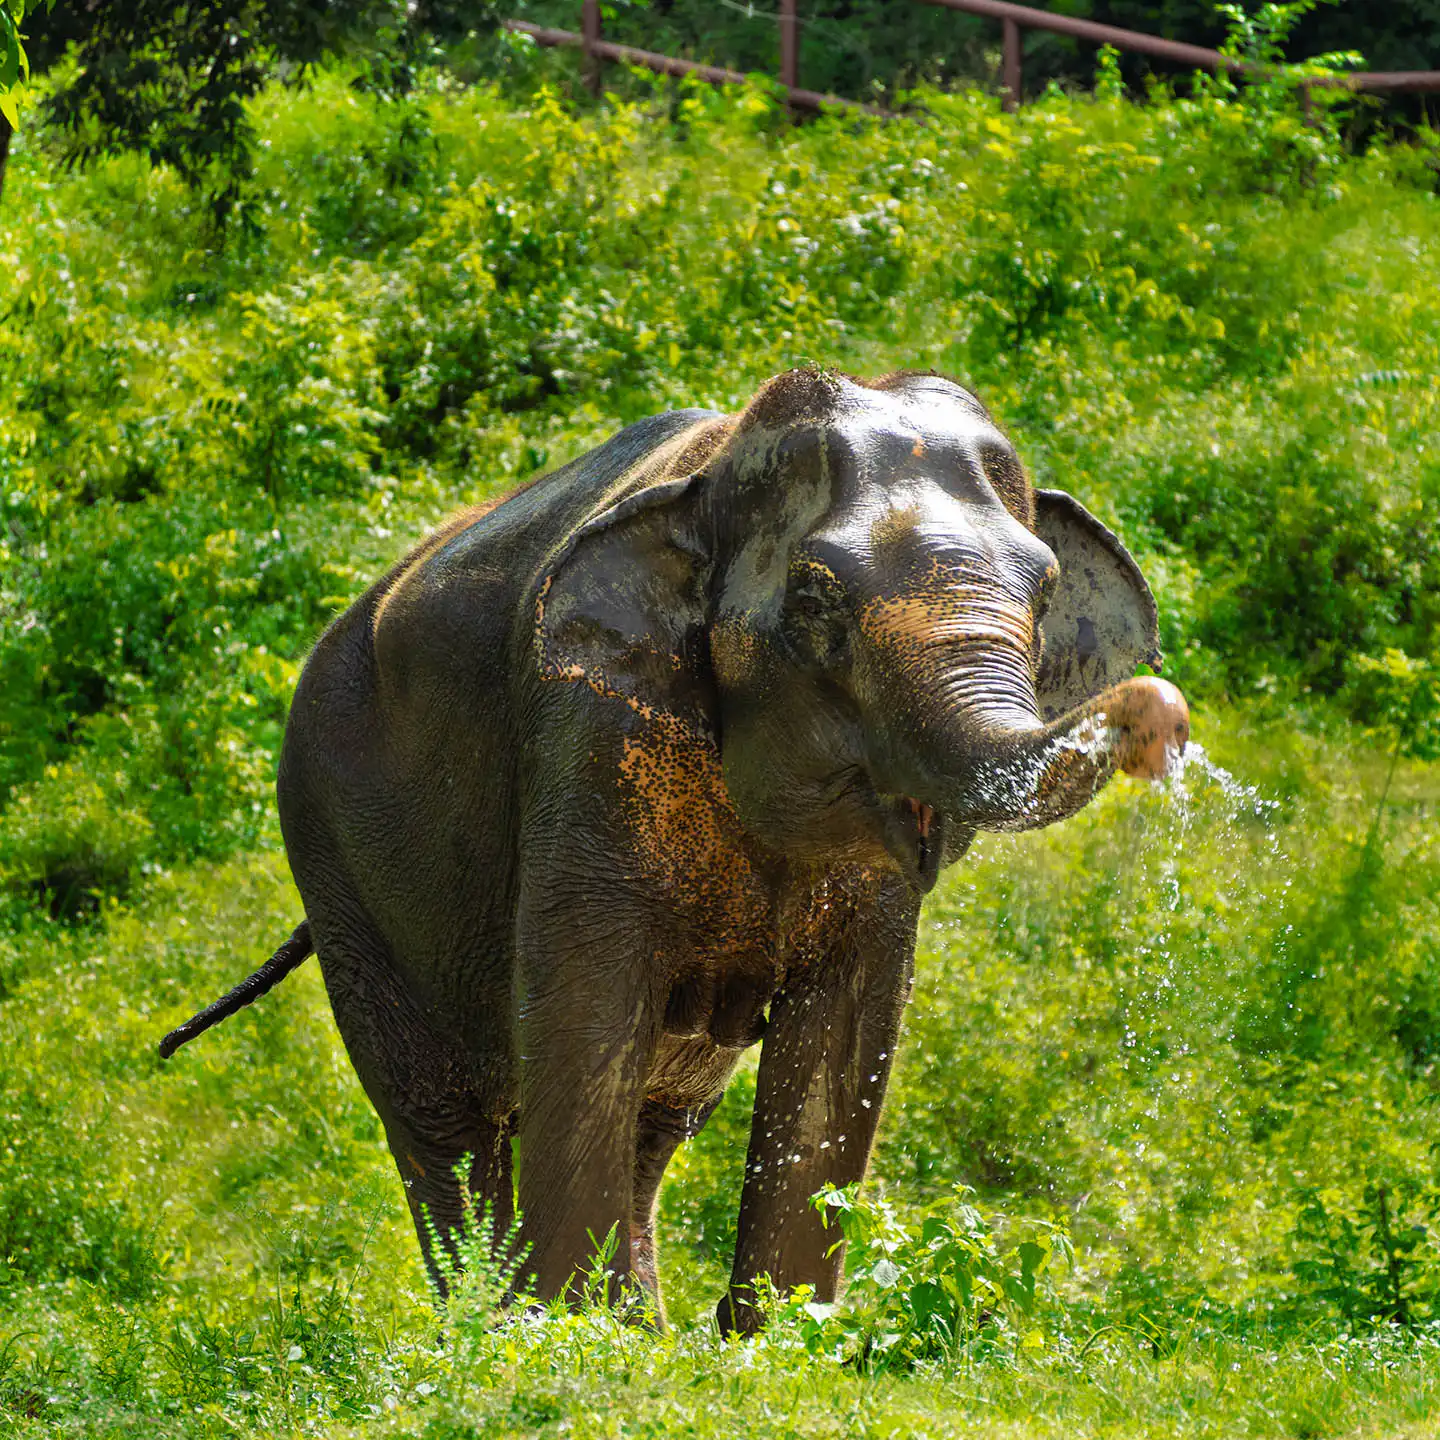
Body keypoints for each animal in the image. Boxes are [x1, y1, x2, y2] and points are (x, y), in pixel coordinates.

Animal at [160, 367, 1189, 1333]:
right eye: (817, 600)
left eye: (1045, 592)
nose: (1161, 714)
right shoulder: (586, 734)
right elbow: (585, 998)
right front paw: (576, 1345)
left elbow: (848, 1027)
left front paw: (777, 1341)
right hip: (336, 857)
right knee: (442, 1121)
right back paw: (493, 1330)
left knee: (652, 1125)